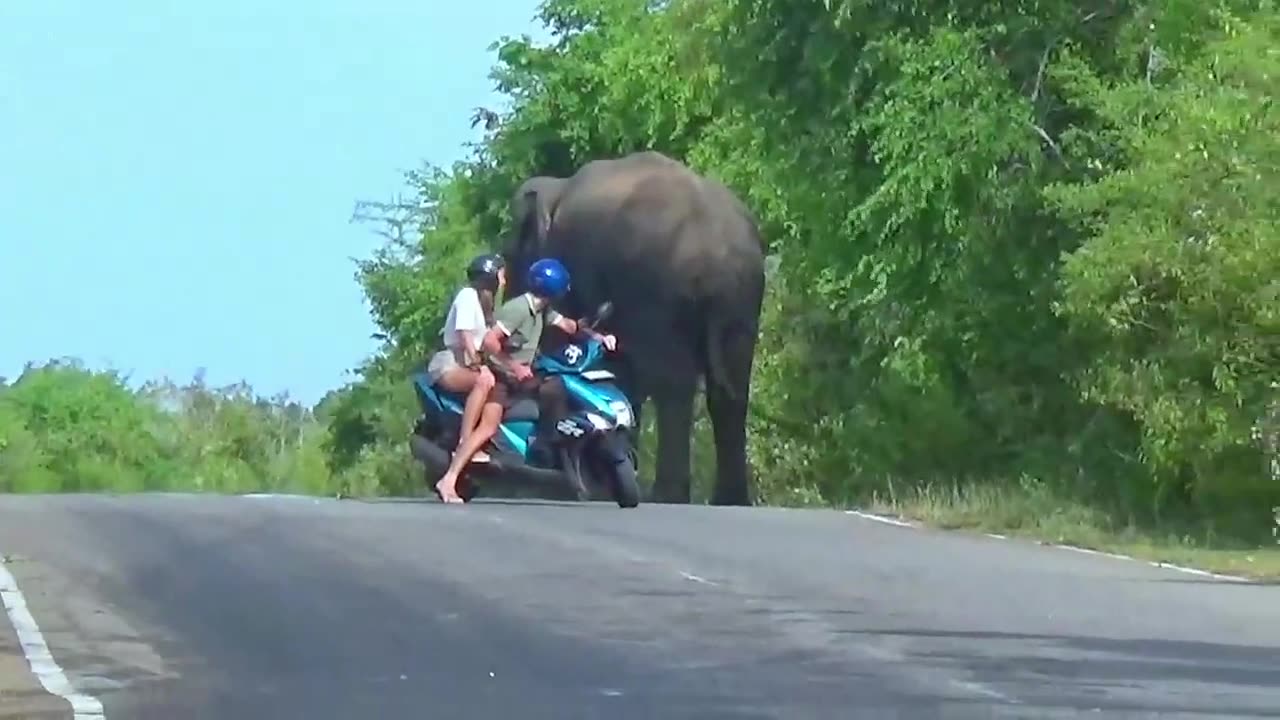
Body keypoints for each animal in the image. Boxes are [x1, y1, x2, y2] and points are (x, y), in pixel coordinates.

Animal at [503, 151, 766, 506]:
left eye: (509, 254)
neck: (558, 187)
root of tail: (716, 252)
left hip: (659, 288)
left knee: (673, 383)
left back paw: (665, 495)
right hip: (741, 297)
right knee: (731, 391)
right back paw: (730, 500)